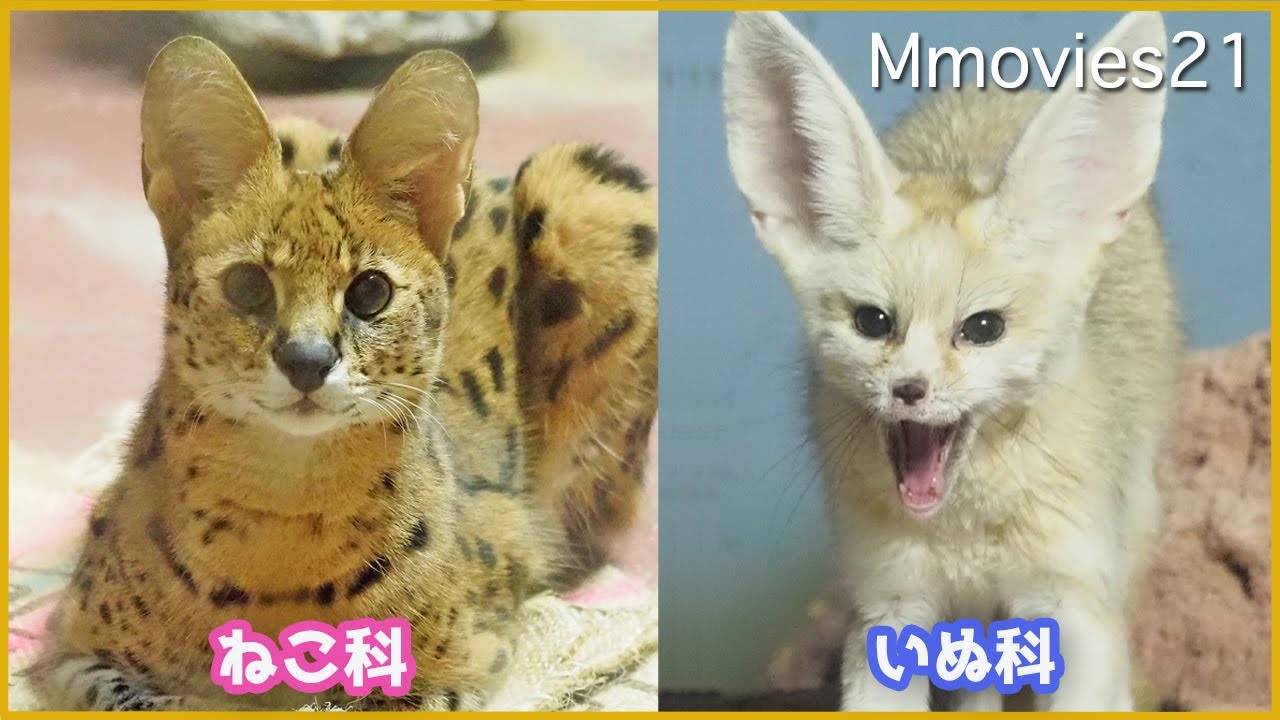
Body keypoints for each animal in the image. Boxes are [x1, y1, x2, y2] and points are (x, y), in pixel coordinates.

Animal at [722, 10, 1181, 711]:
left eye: (982, 328)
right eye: (873, 323)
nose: (909, 390)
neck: (966, 531)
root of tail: (1000, 88)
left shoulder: (1074, 605)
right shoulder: (891, 606)